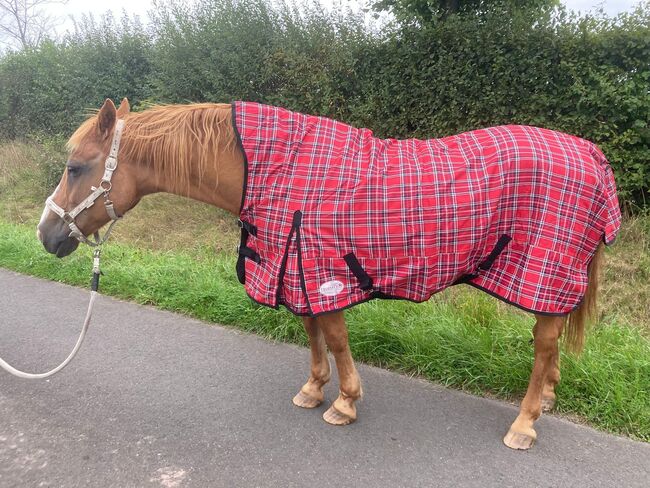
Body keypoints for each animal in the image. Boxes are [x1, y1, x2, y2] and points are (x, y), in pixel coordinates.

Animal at [37, 98, 621, 450]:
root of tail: (592, 156)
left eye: (76, 167)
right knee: (550, 345)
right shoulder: (293, 267)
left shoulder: (322, 271)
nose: (46, 235)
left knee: (544, 345)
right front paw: (314, 390)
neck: (276, 170)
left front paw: (344, 402)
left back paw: (524, 423)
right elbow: (311, 332)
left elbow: (335, 338)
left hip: (544, 272)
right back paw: (545, 401)